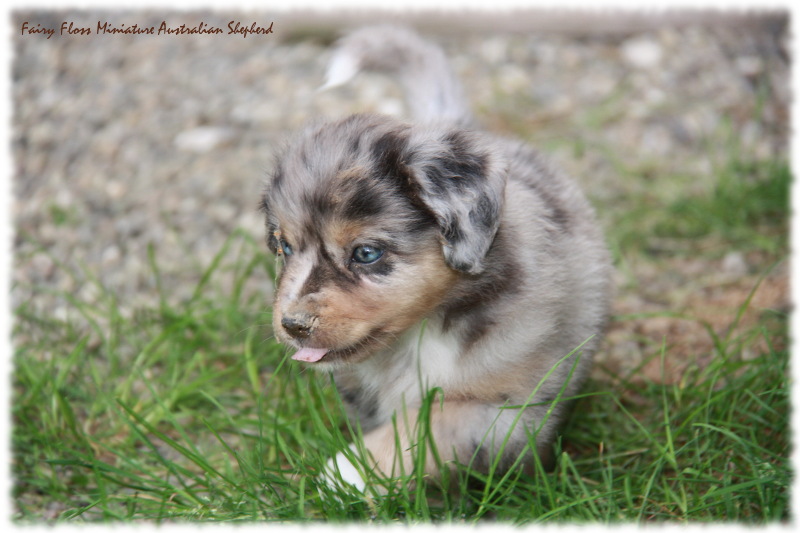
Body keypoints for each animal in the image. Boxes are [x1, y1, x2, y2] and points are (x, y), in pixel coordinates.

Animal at [260, 26, 608, 490]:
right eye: (283, 246)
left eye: (366, 253)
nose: (293, 326)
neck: (419, 333)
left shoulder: (507, 408)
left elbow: (428, 423)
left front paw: (346, 474)